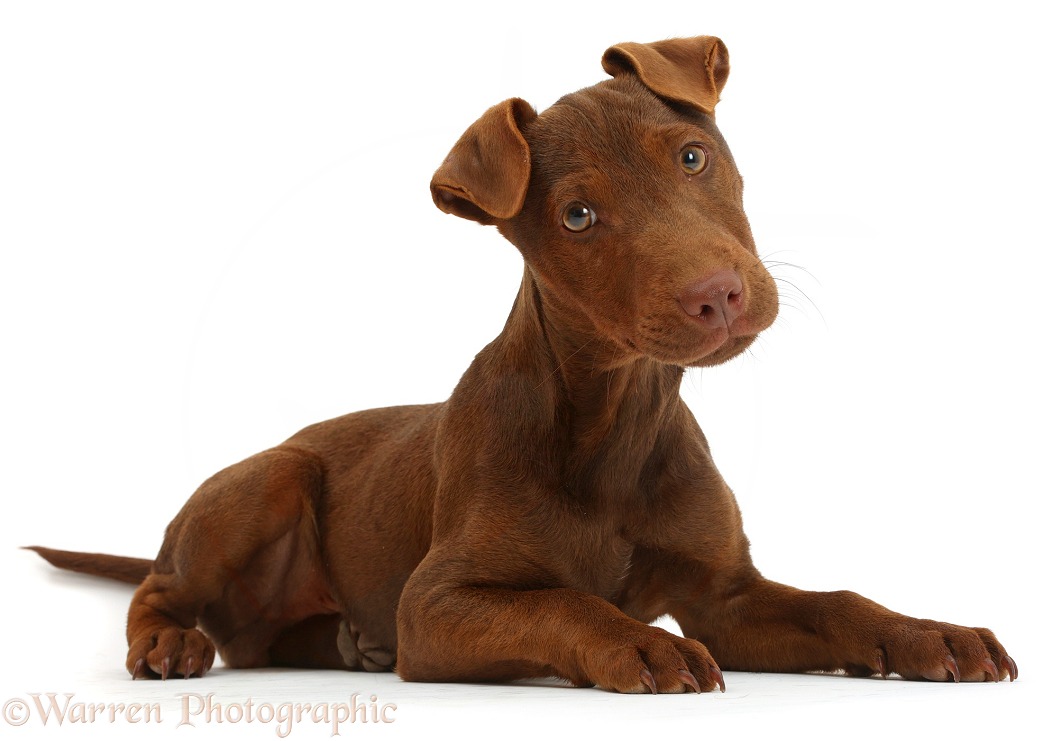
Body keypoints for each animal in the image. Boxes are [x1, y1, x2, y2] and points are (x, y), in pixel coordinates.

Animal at [29, 34, 1014, 692]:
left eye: (694, 156)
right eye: (576, 216)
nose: (718, 295)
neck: (616, 419)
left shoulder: (728, 599)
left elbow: (837, 600)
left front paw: (928, 632)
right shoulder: (435, 602)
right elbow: (562, 601)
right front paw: (639, 643)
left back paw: (346, 644)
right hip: (265, 481)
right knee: (161, 586)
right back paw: (168, 644)